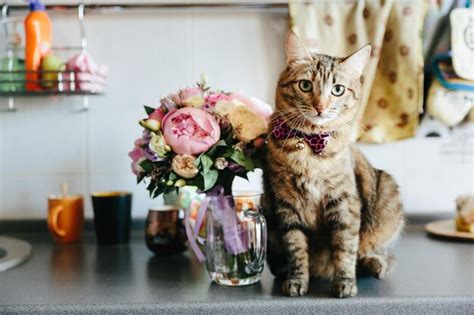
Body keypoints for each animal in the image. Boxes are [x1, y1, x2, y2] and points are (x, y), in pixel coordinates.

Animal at [262, 31, 404, 298]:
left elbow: (345, 247)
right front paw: (297, 280)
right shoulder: (286, 205)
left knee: (380, 253)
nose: (321, 107)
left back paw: (374, 264)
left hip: (387, 199)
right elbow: (296, 248)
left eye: (337, 90)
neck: (311, 147)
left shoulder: (344, 202)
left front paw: (345, 283)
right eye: (306, 85)